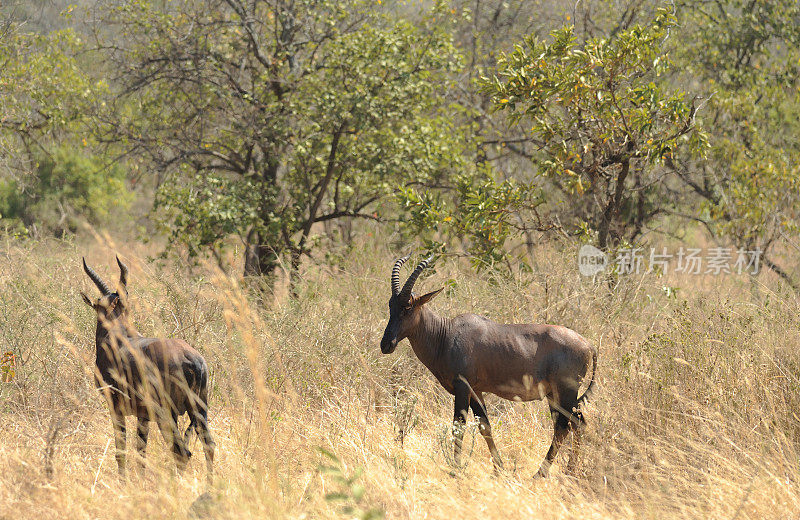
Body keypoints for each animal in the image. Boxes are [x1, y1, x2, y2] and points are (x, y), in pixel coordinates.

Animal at [80, 256, 216, 480]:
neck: (118, 336)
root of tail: (193, 361)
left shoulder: (116, 407)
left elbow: (122, 450)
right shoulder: (143, 415)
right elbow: (140, 451)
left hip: (167, 414)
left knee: (181, 451)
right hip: (199, 409)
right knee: (208, 446)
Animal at [380, 254, 592, 478]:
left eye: (408, 307)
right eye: (390, 305)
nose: (386, 344)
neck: (446, 334)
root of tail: (588, 345)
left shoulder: (462, 387)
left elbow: (459, 426)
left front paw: (455, 470)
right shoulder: (476, 391)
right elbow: (484, 426)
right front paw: (499, 469)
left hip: (565, 392)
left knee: (565, 425)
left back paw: (542, 474)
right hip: (555, 395)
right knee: (576, 423)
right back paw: (568, 472)